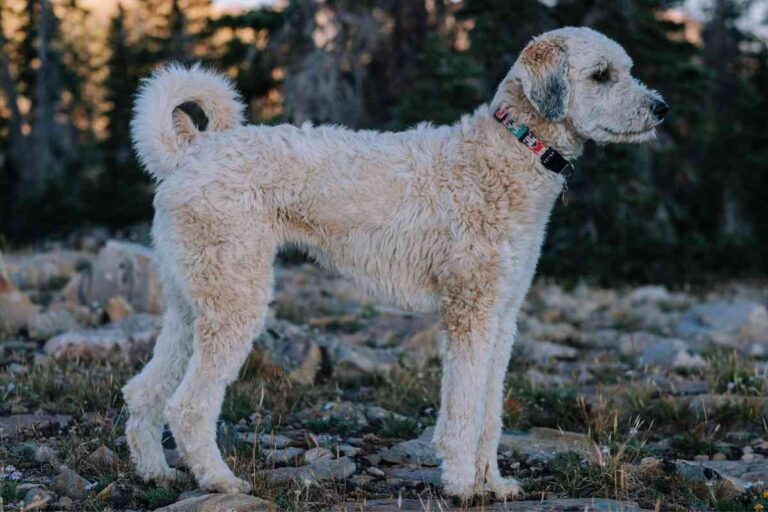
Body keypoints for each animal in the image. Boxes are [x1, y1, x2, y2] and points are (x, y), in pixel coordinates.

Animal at [121, 26, 664, 498]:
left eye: (628, 69)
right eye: (601, 75)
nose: (661, 107)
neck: (511, 150)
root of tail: (191, 153)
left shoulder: (502, 316)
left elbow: (490, 414)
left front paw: (494, 484)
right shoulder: (469, 311)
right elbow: (464, 410)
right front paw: (462, 486)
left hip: (192, 304)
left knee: (144, 392)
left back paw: (155, 472)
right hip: (235, 300)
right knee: (188, 405)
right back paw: (220, 481)